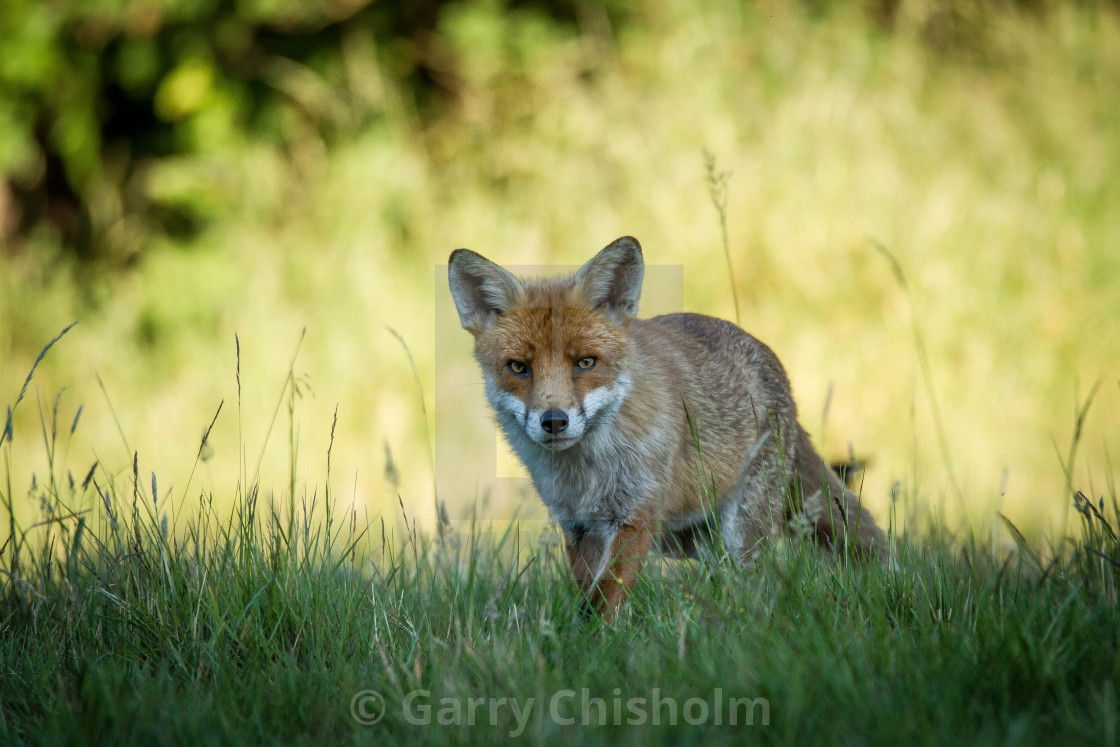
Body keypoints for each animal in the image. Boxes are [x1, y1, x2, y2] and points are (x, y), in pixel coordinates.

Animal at [445, 235, 882, 618]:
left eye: (585, 362)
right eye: (518, 367)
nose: (554, 421)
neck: (586, 473)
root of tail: (775, 365)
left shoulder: (636, 515)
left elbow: (607, 595)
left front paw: (600, 642)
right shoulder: (579, 526)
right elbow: (589, 594)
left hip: (738, 531)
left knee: (752, 585)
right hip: (689, 539)